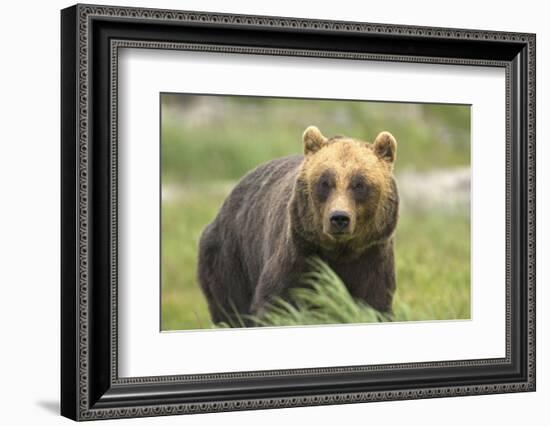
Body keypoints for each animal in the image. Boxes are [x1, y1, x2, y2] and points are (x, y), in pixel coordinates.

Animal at [198, 125, 402, 324]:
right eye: (324, 182)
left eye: (359, 184)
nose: (339, 218)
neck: (340, 251)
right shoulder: (300, 253)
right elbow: (276, 302)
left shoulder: (371, 258)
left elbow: (374, 304)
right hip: (231, 257)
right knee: (231, 308)